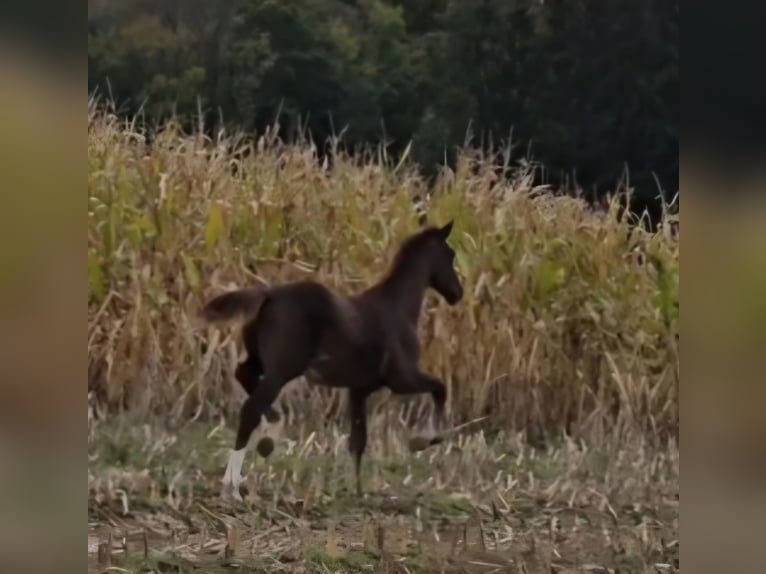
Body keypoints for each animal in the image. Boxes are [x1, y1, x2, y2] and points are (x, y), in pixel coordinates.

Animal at [199, 220, 464, 500]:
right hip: (282, 371)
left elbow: (358, 441)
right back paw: (233, 485)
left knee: (243, 376)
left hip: (261, 361)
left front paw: (357, 491)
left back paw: (269, 431)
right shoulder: (402, 379)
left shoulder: (359, 389)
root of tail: (270, 294)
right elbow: (440, 389)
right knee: (250, 409)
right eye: (450, 254)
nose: (458, 293)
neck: (397, 308)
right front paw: (424, 441)